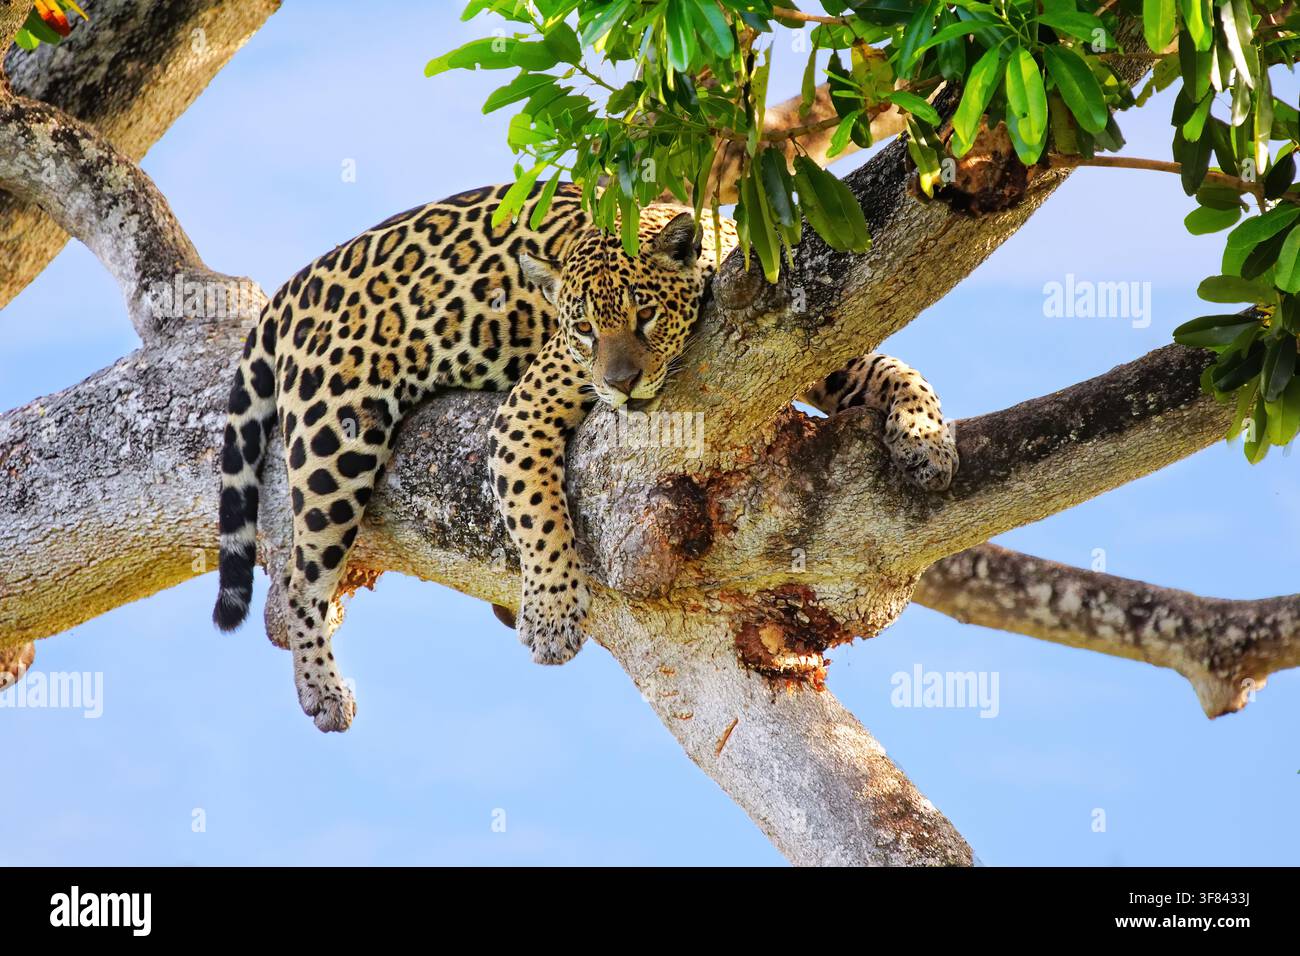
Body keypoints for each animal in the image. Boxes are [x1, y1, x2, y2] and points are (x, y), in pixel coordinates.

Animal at [212, 182, 958, 733]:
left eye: (645, 315)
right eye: (584, 330)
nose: (622, 382)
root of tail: (294, 286)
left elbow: (893, 365)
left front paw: (928, 441)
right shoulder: (526, 409)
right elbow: (538, 514)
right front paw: (550, 616)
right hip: (334, 436)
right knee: (302, 578)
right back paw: (322, 688)